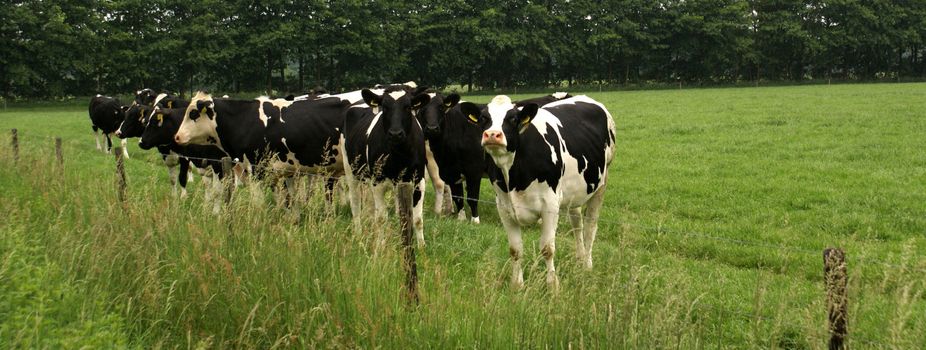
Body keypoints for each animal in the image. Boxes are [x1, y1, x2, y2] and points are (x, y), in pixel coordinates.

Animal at [340, 87, 432, 246]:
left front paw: (421, 247)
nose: (395, 134)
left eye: (408, 107)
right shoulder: (378, 182)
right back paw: (358, 234)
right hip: (351, 172)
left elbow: (417, 219)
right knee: (355, 203)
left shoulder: (419, 181)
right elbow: (382, 218)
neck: (399, 154)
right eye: (384, 107)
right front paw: (381, 245)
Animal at [418, 92, 572, 224]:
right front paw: (461, 219)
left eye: (441, 107)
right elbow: (458, 197)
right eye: (422, 109)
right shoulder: (451, 171)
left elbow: (472, 197)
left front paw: (475, 221)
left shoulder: (474, 170)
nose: (432, 128)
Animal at [458, 94, 616, 288]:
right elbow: (515, 250)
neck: (513, 177)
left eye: (513, 118)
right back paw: (580, 258)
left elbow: (547, 249)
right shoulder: (504, 208)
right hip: (575, 191)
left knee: (590, 227)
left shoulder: (550, 206)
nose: (492, 135)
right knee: (577, 223)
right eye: (483, 119)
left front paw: (552, 285)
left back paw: (587, 265)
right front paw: (517, 285)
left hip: (602, 183)